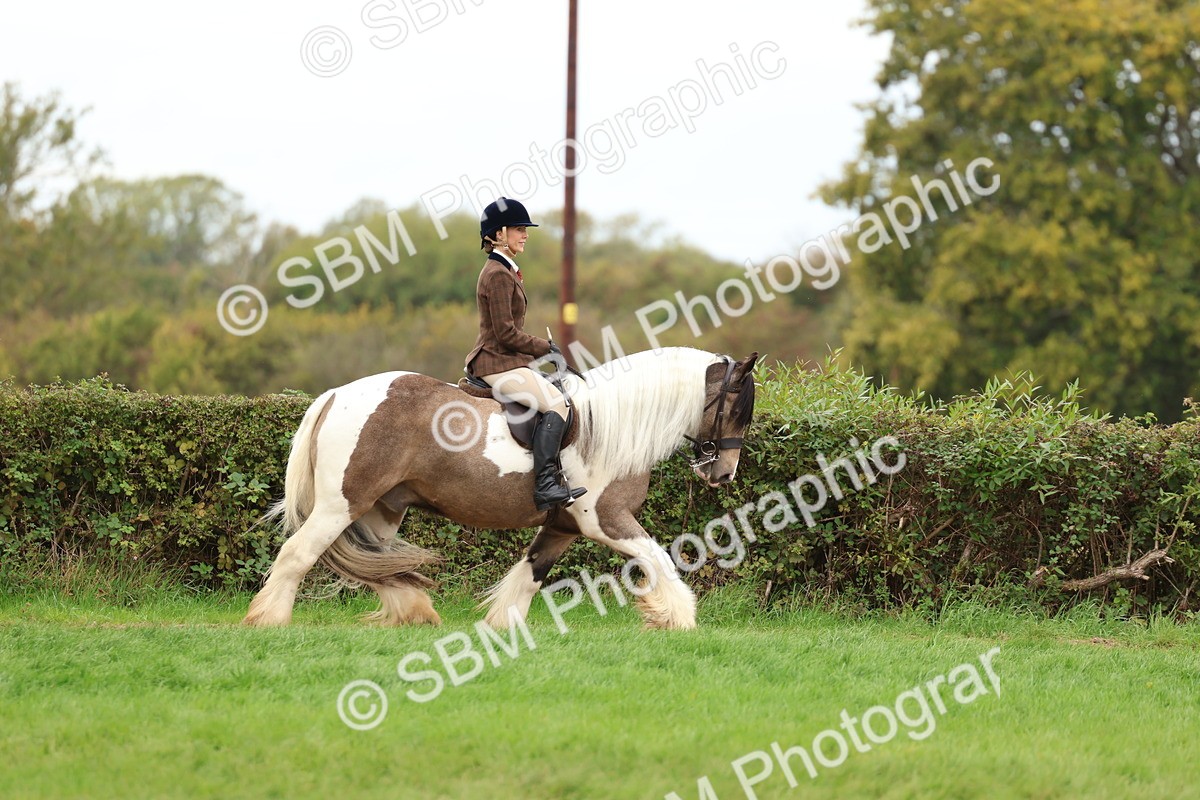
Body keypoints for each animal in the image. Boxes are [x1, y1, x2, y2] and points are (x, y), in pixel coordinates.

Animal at [243, 347, 758, 630]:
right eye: (737, 409)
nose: (724, 474)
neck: (612, 425)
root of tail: (336, 395)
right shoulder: (608, 520)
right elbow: (658, 559)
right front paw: (678, 617)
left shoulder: (564, 526)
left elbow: (530, 574)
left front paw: (501, 626)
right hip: (341, 505)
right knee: (297, 554)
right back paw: (268, 620)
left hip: (382, 511)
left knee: (379, 566)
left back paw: (416, 613)